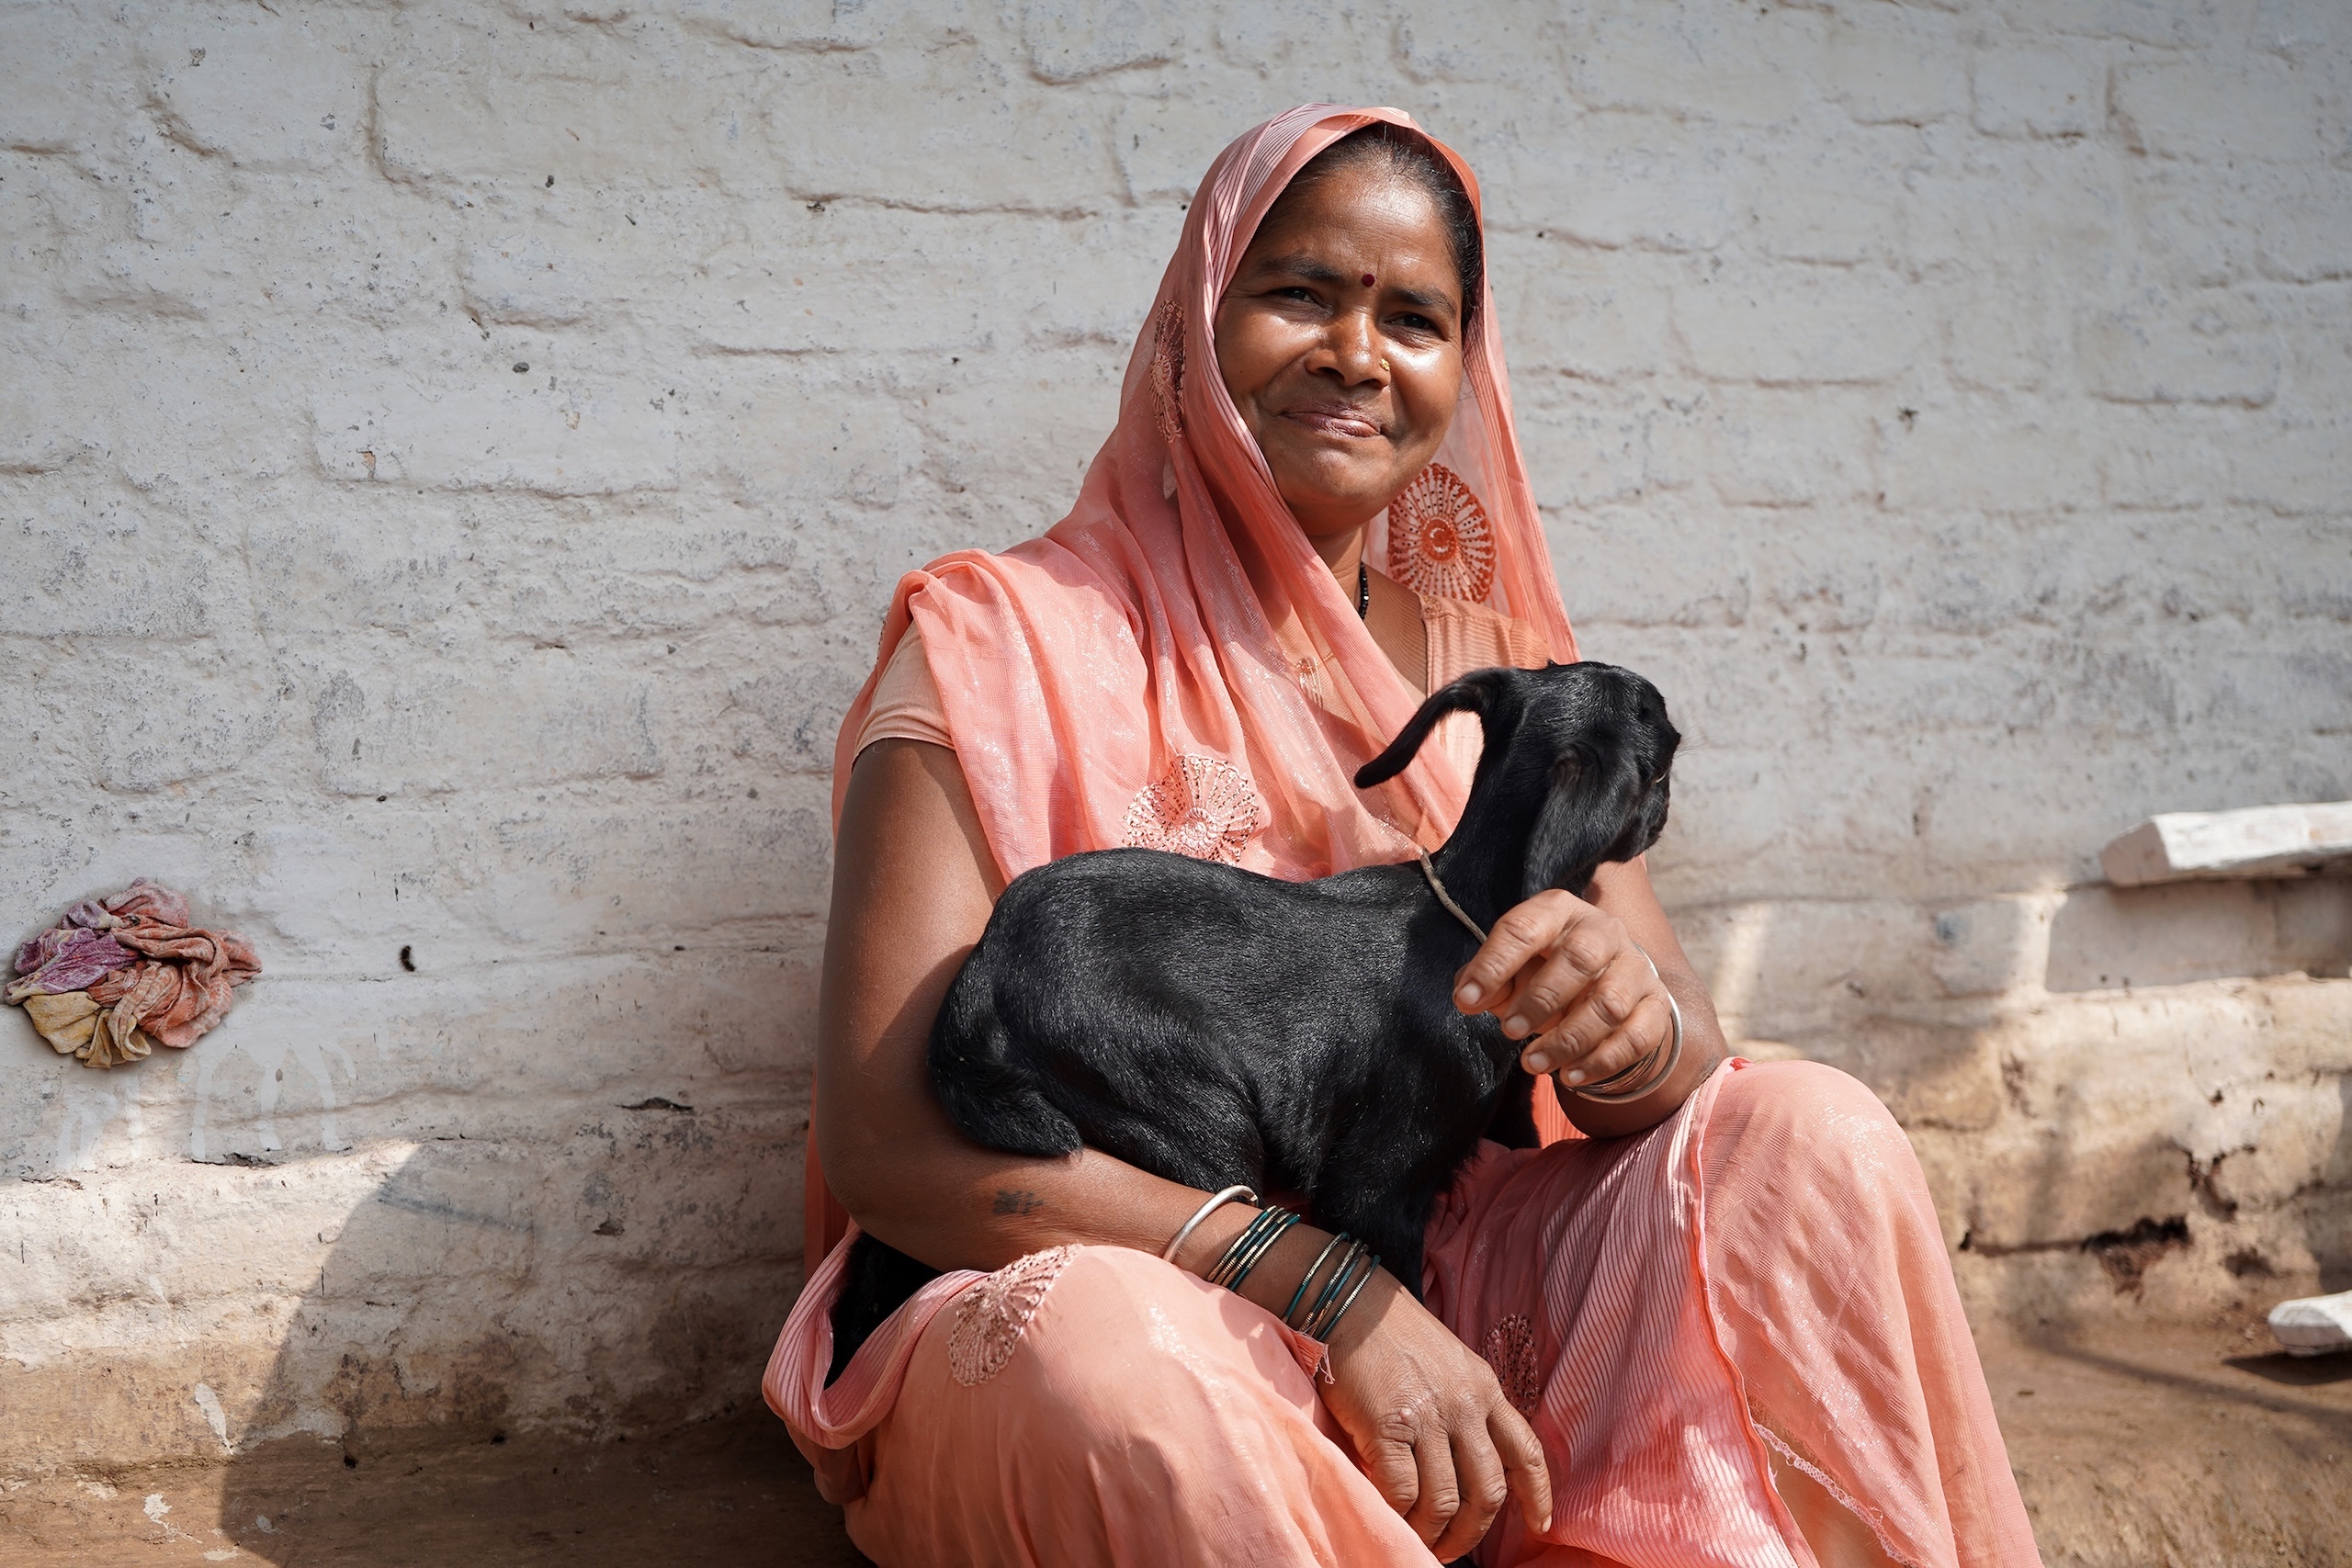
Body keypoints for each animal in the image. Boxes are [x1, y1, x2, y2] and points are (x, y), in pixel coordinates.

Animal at [828, 661, 1679, 1381]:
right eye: (1661, 755)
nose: (1673, 777)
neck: (1465, 914)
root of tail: (983, 975)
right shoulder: (1376, 1190)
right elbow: (1406, 1286)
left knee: (895, 1240)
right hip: (1184, 1115)